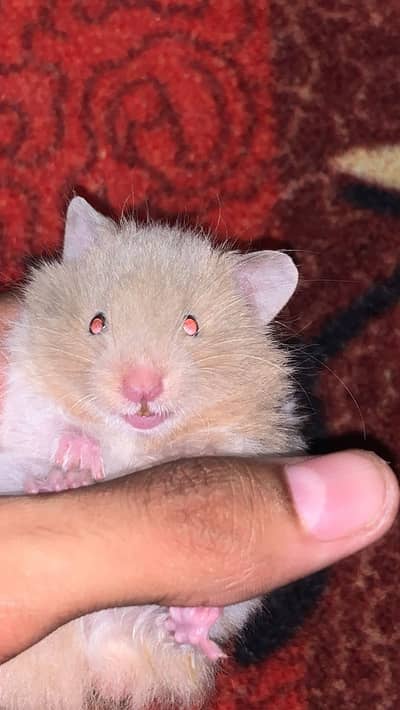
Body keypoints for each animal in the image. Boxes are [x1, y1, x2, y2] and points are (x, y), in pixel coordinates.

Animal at [0, 197, 303, 710]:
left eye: (192, 326)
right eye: (96, 322)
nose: (140, 389)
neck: (132, 435)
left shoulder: (253, 436)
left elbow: (217, 443)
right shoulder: (21, 387)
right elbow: (49, 419)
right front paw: (79, 460)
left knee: (161, 630)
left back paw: (189, 620)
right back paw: (60, 480)